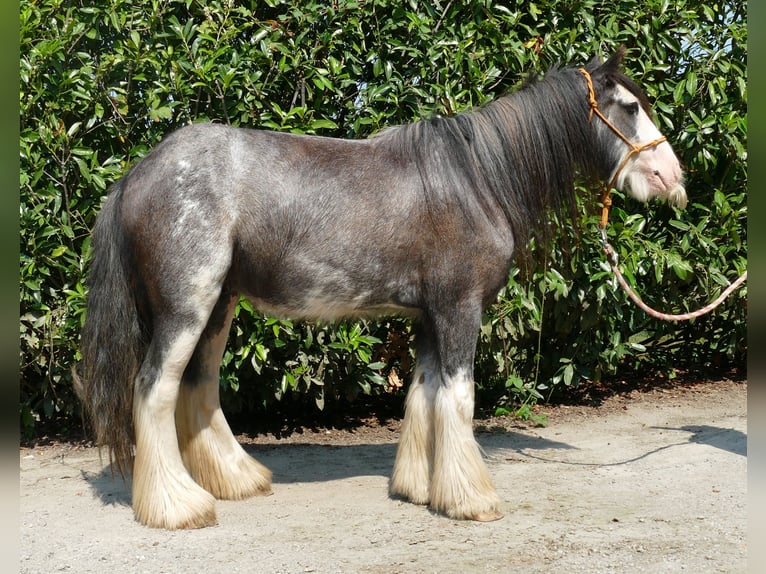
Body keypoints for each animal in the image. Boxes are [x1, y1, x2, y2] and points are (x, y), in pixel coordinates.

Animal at [73, 48, 688, 532]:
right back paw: (178, 507)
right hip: (187, 307)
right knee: (154, 388)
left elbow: (424, 393)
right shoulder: (459, 309)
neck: (475, 179)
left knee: (198, 387)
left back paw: (238, 480)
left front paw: (420, 488)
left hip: (219, 306)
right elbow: (458, 397)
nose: (674, 179)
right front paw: (471, 499)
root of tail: (136, 174)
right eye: (629, 106)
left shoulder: (430, 315)